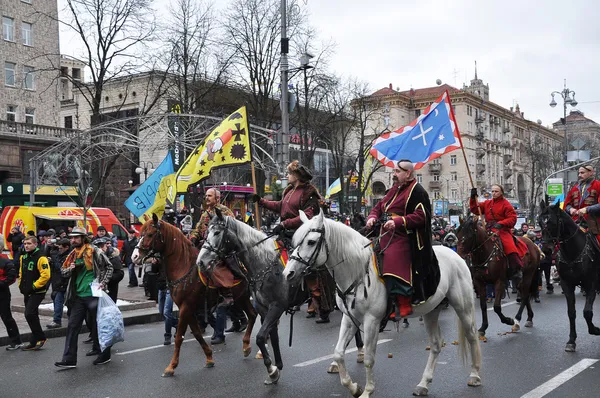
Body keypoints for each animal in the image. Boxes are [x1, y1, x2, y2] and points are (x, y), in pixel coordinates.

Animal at [132, 215, 256, 376]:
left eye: (150, 234)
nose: (134, 256)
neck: (183, 267)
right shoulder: (187, 308)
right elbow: (196, 333)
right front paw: (209, 357)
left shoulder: (186, 307)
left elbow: (179, 337)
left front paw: (171, 366)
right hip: (241, 297)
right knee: (252, 314)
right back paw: (246, 345)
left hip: (243, 295)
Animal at [282, 210, 482, 396]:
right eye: (295, 241)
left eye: (311, 242)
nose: (288, 273)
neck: (357, 273)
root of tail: (456, 255)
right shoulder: (350, 318)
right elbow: (338, 353)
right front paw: (353, 387)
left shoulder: (372, 320)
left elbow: (369, 358)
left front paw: (367, 390)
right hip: (431, 310)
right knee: (436, 344)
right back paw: (423, 384)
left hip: (463, 306)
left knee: (472, 336)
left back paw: (475, 375)